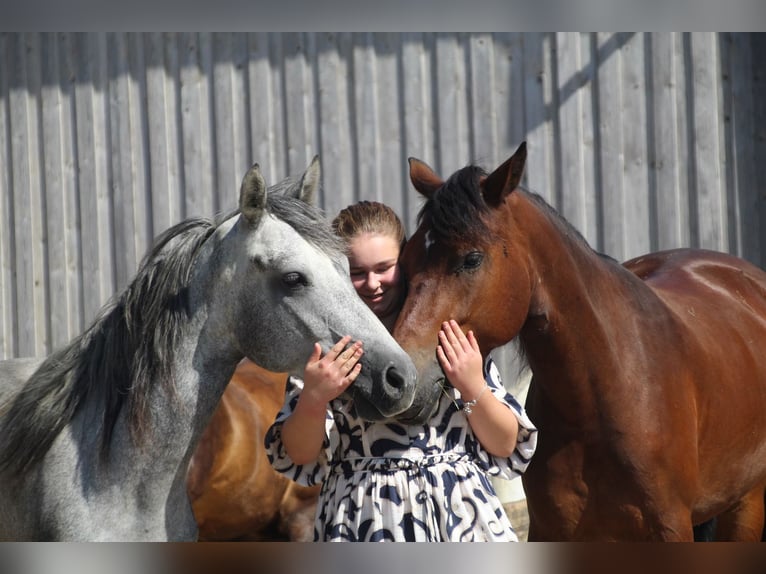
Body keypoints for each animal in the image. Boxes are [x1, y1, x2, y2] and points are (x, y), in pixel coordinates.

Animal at [391, 141, 766, 541]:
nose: (402, 378)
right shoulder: (550, 528)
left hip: (745, 506)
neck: (600, 398)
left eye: (472, 259)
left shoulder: (671, 527)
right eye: (406, 262)